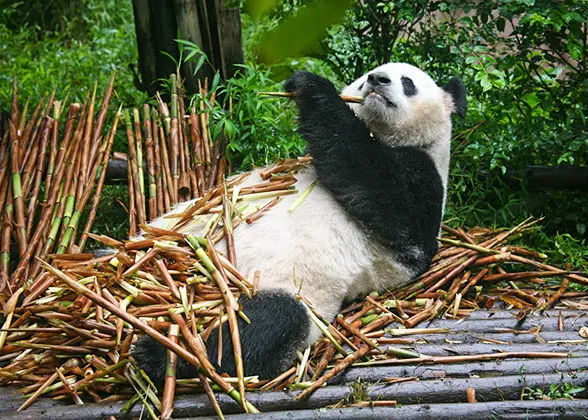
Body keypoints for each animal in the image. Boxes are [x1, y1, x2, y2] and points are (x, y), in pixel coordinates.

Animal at [131, 61, 466, 380]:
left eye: (408, 82)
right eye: (365, 77)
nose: (377, 80)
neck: (387, 135)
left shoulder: (423, 184)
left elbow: (377, 185)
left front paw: (311, 87)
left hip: (289, 291)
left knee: (265, 325)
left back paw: (161, 354)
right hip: (167, 231)